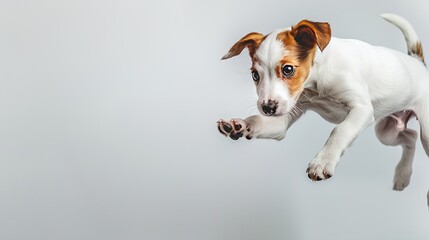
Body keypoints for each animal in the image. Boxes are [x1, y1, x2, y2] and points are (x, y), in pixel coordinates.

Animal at [217, 13, 428, 195]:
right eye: (255, 75)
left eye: (288, 69)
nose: (268, 109)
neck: (317, 83)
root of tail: (418, 63)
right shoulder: (286, 115)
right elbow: (259, 121)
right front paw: (239, 125)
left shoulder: (362, 109)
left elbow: (340, 130)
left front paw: (322, 162)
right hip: (386, 131)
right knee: (410, 137)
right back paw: (403, 175)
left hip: (424, 131)